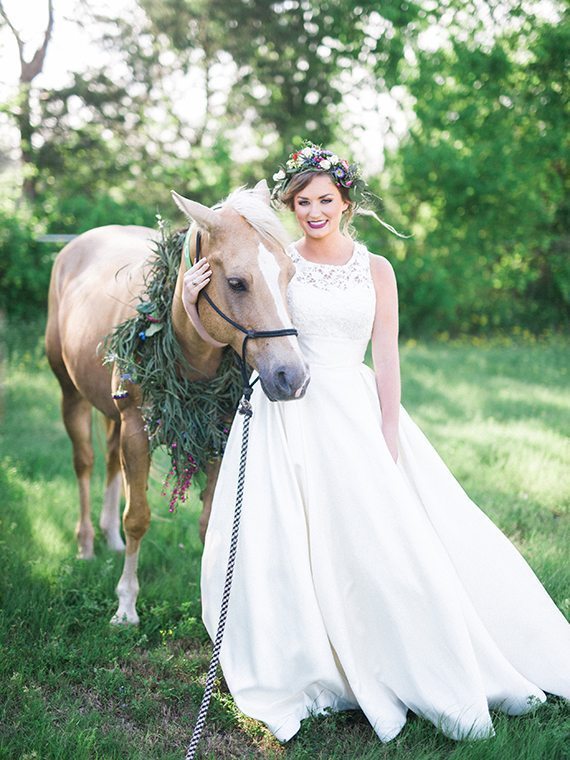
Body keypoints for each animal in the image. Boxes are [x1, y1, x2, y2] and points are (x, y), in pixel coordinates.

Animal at [46, 183, 308, 624]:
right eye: (237, 283)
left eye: (289, 275)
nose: (293, 376)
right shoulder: (137, 427)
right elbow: (137, 517)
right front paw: (126, 605)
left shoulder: (218, 430)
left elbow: (207, 523)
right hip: (71, 395)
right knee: (84, 462)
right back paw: (86, 544)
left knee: (109, 460)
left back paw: (110, 539)